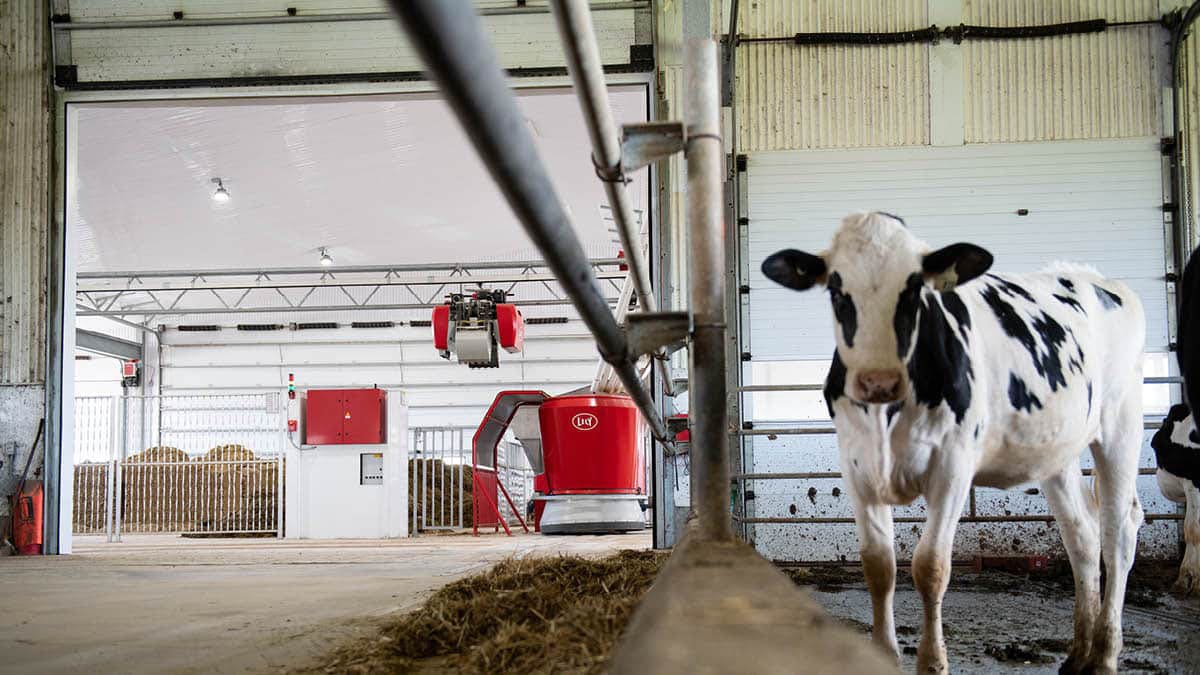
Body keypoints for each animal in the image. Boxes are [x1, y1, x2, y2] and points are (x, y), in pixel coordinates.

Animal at [763, 211, 1147, 672]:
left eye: (915, 288)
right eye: (837, 290)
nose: (878, 381)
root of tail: (1100, 279)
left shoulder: (952, 465)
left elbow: (930, 567)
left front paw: (933, 662)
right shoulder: (856, 467)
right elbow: (879, 566)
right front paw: (885, 654)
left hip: (1121, 426)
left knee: (1118, 532)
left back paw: (1105, 654)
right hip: (1058, 452)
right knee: (1083, 538)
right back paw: (1078, 653)